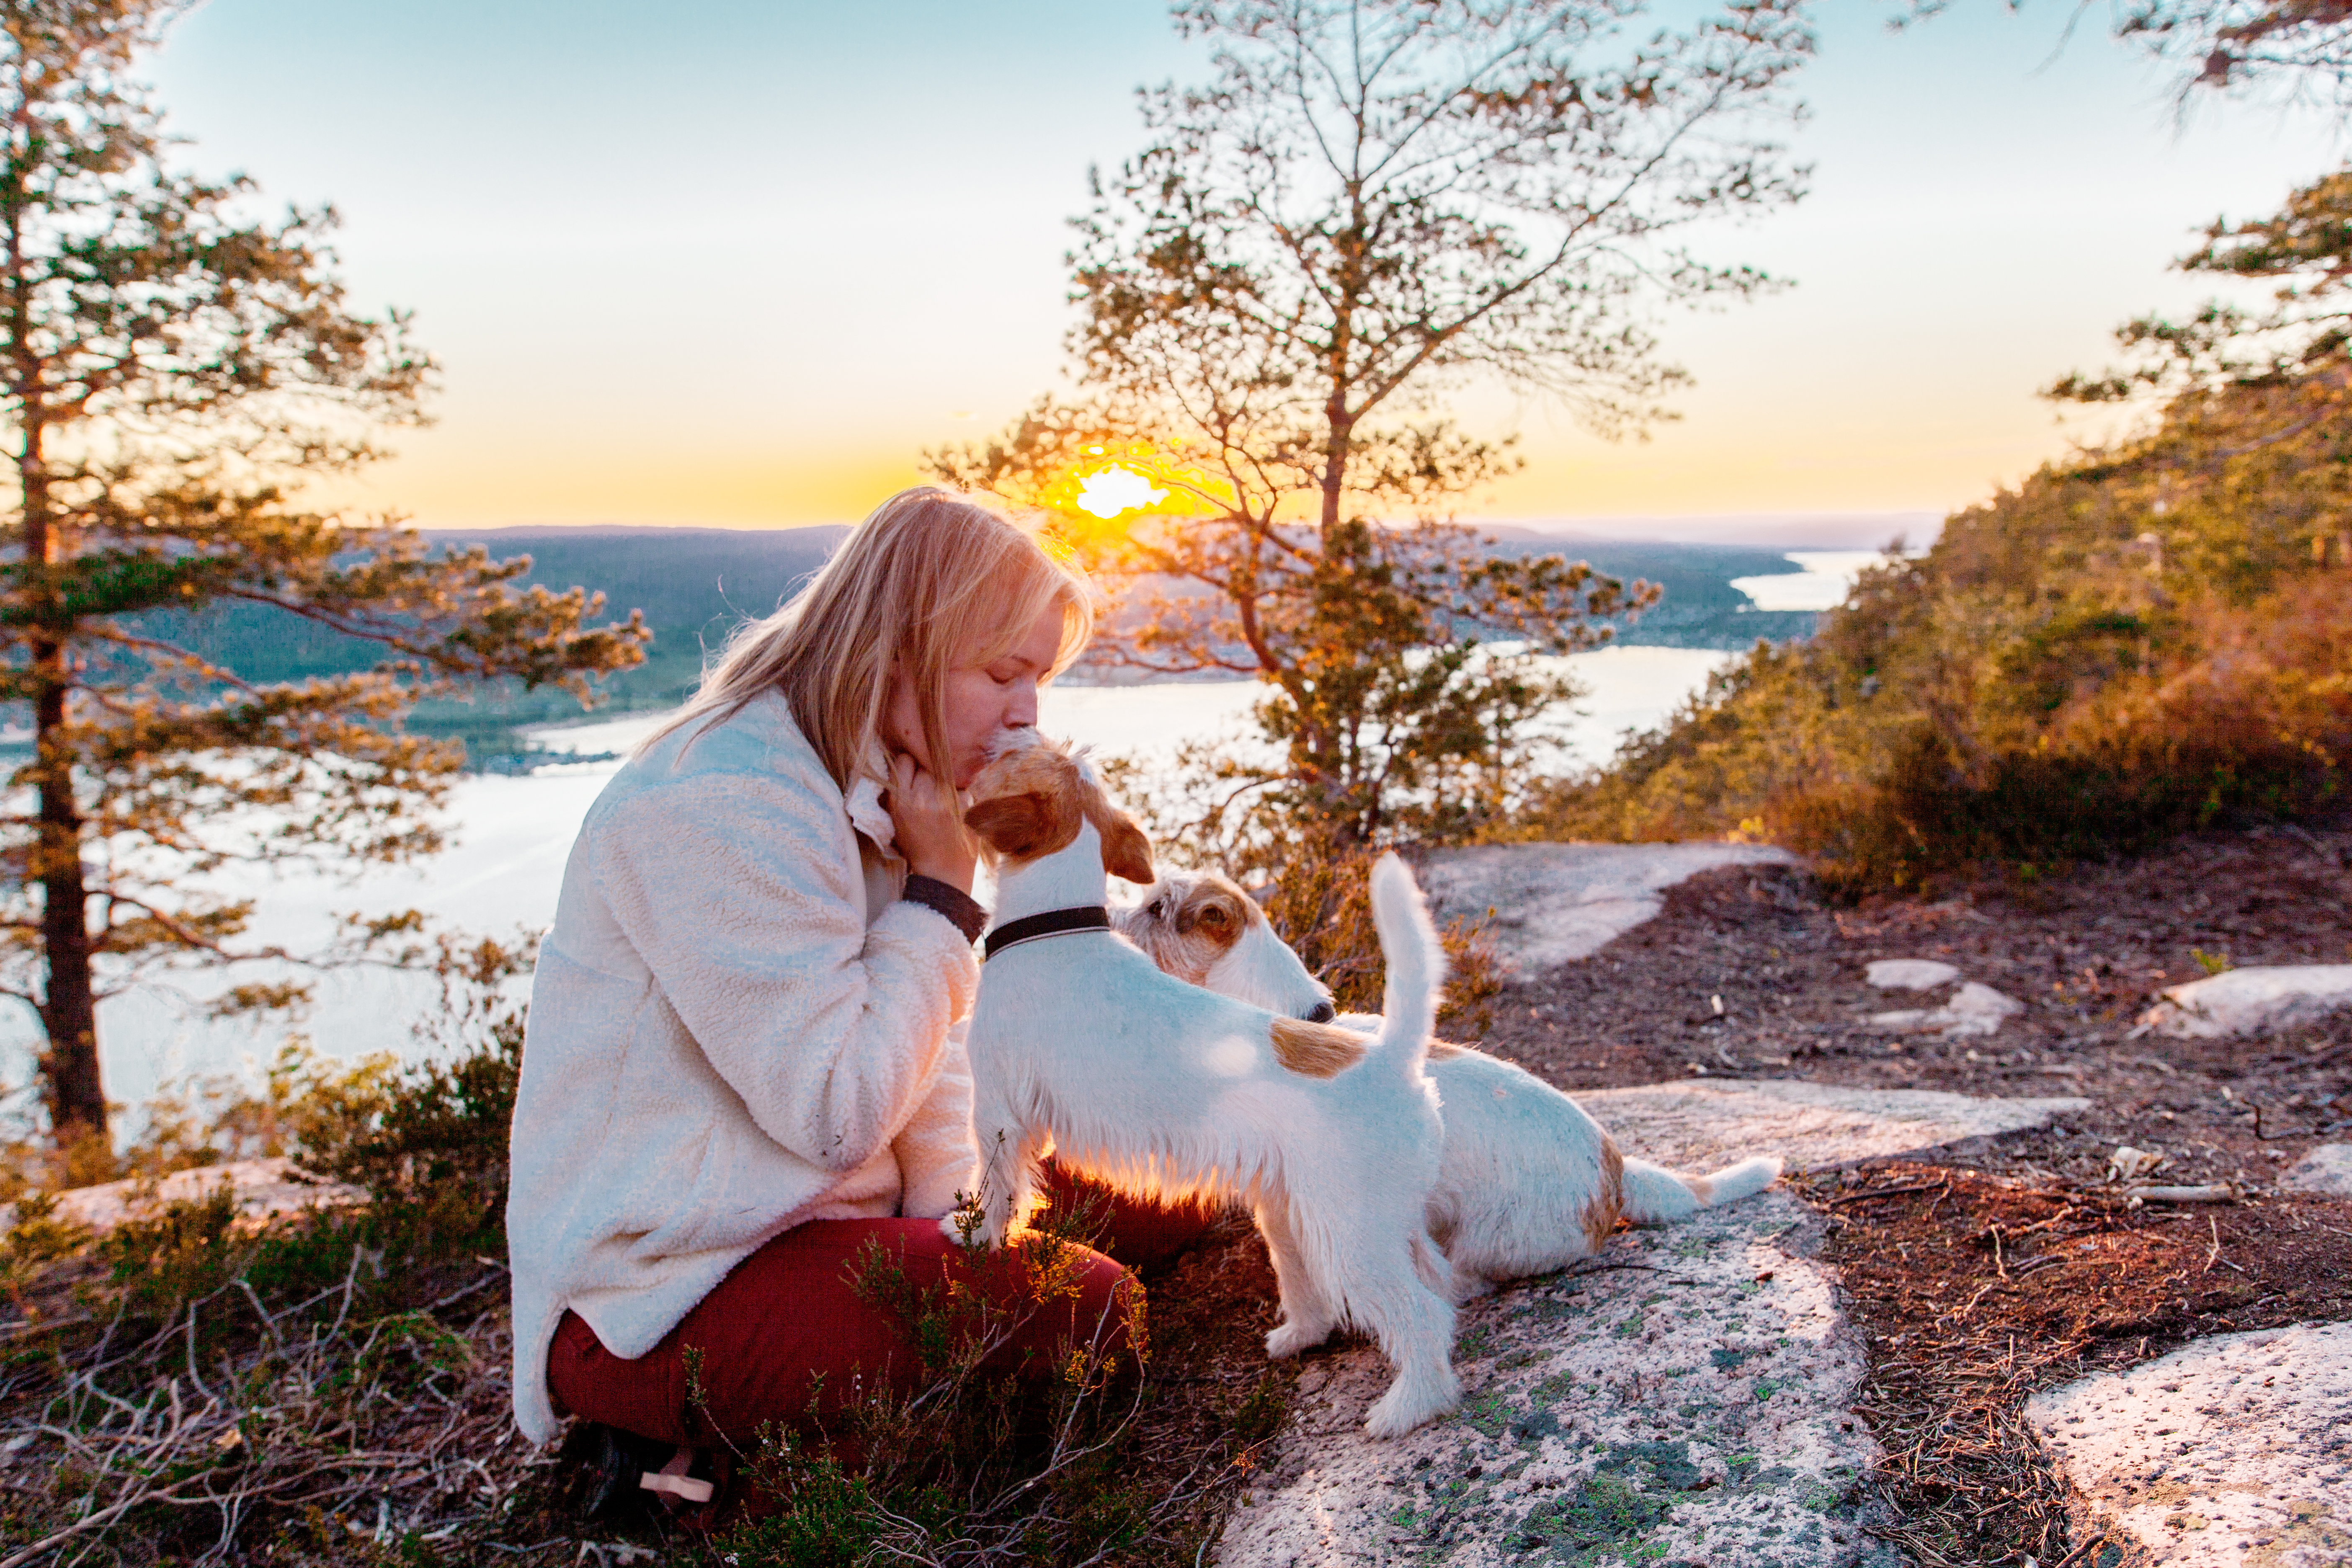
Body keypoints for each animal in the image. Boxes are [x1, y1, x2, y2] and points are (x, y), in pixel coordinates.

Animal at [945, 738, 1458, 1439]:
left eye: (1017, 751)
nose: (993, 741)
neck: (1053, 925)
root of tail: (1391, 1060)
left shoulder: (999, 1113)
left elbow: (996, 1186)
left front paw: (974, 1235)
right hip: (1357, 1224)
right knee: (1440, 1292)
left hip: (1350, 1239)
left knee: (1421, 1317)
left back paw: (1407, 1408)